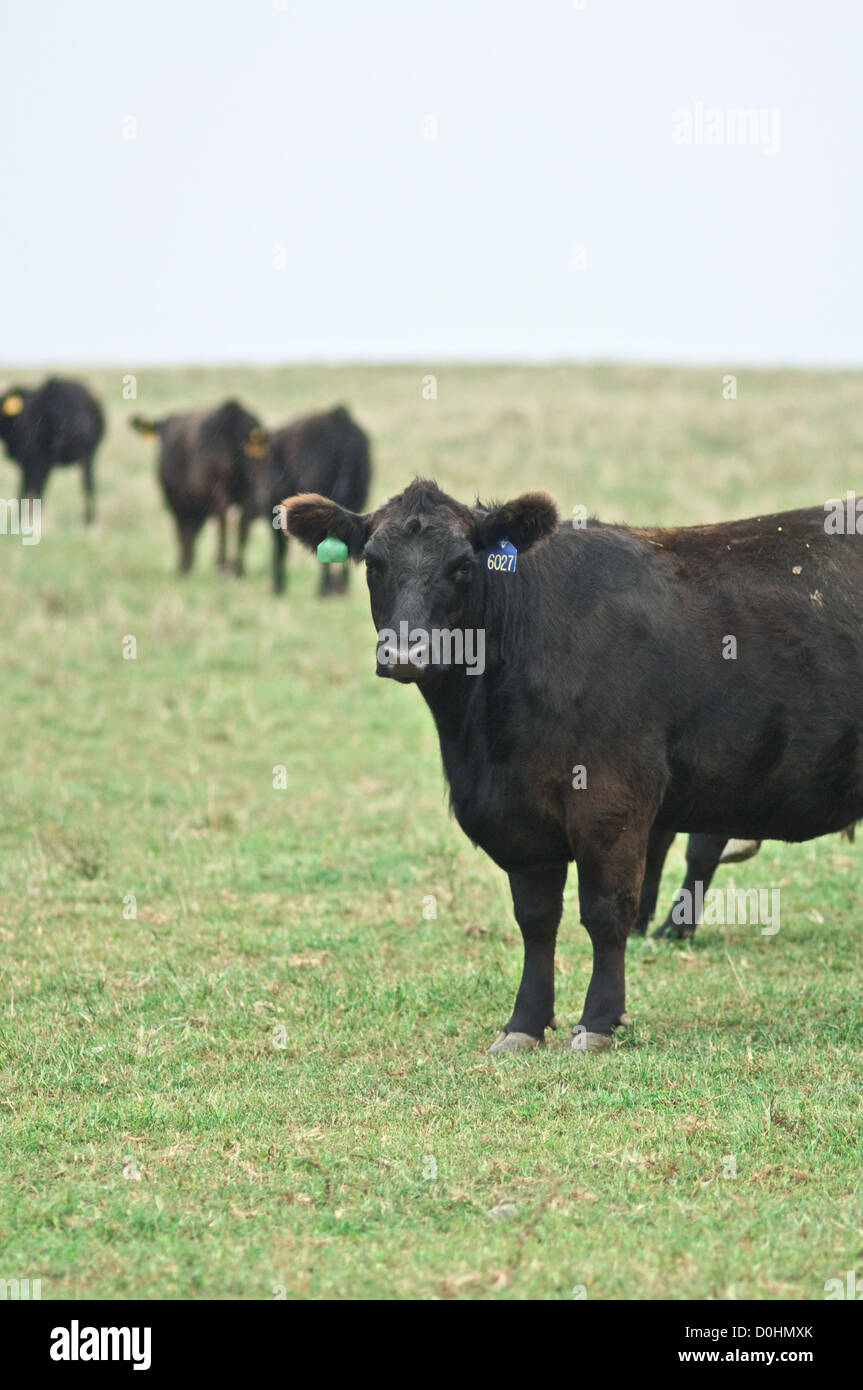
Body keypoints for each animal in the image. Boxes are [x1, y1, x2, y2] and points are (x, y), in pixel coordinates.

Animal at [130, 403, 262, 575]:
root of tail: (233, 413)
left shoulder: (177, 501)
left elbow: (184, 530)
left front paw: (184, 566)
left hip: (214, 489)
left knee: (222, 518)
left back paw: (221, 564)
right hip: (248, 490)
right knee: (242, 522)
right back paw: (238, 569)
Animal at [241, 405, 369, 594]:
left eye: (259, 469)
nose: (261, 494)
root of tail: (338, 419)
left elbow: (279, 547)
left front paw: (278, 586)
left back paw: (323, 589)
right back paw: (340, 588)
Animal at [286, 478, 861, 1050]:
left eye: (463, 564)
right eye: (372, 562)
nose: (406, 653)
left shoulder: (613, 800)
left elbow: (606, 913)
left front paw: (600, 1021)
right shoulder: (518, 821)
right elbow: (537, 921)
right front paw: (524, 1023)